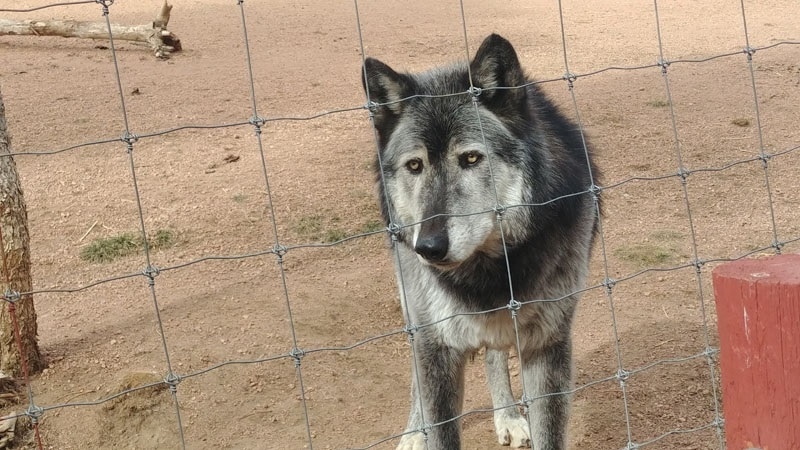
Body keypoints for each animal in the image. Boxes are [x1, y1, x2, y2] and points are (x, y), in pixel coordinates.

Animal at [362, 34, 599, 450]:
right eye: (414, 166)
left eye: (471, 158)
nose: (429, 247)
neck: (487, 272)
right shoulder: (436, 346)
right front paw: (423, 431)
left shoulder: (547, 345)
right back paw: (415, 432)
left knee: (493, 355)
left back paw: (508, 416)